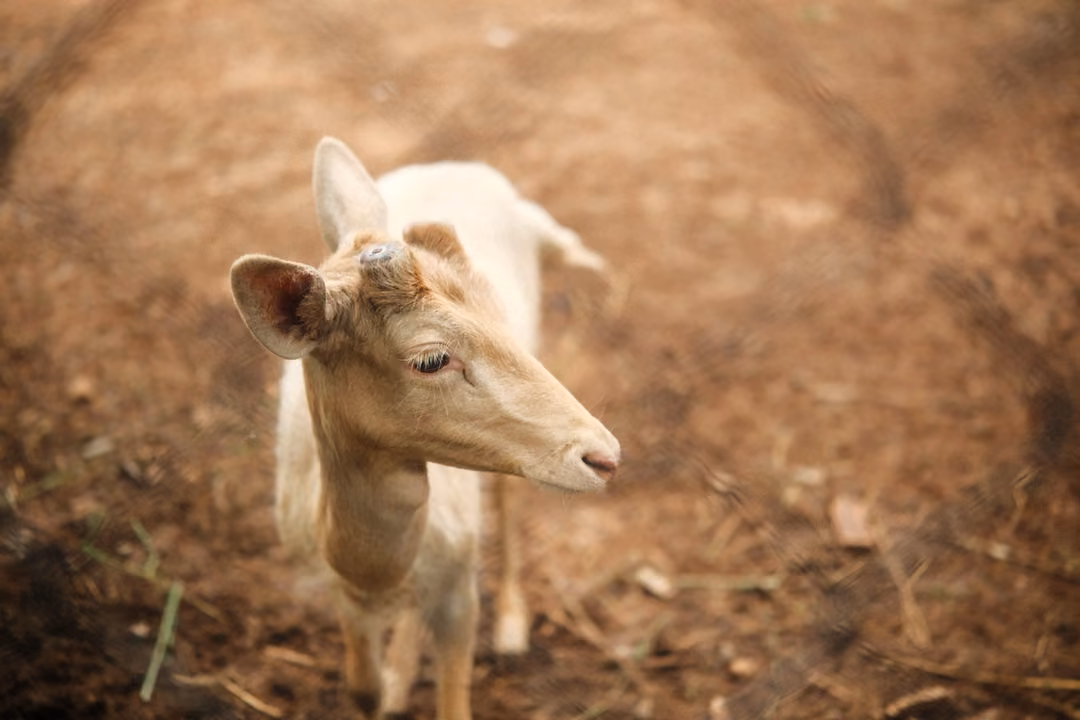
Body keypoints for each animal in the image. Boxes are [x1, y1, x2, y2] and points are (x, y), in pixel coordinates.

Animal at [229, 137, 620, 720]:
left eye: (496, 312)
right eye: (431, 359)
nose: (605, 456)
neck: (369, 568)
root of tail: (469, 168)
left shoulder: (459, 584)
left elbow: (454, 701)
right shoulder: (340, 594)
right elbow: (362, 691)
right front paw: (386, 685)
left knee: (508, 500)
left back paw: (510, 625)